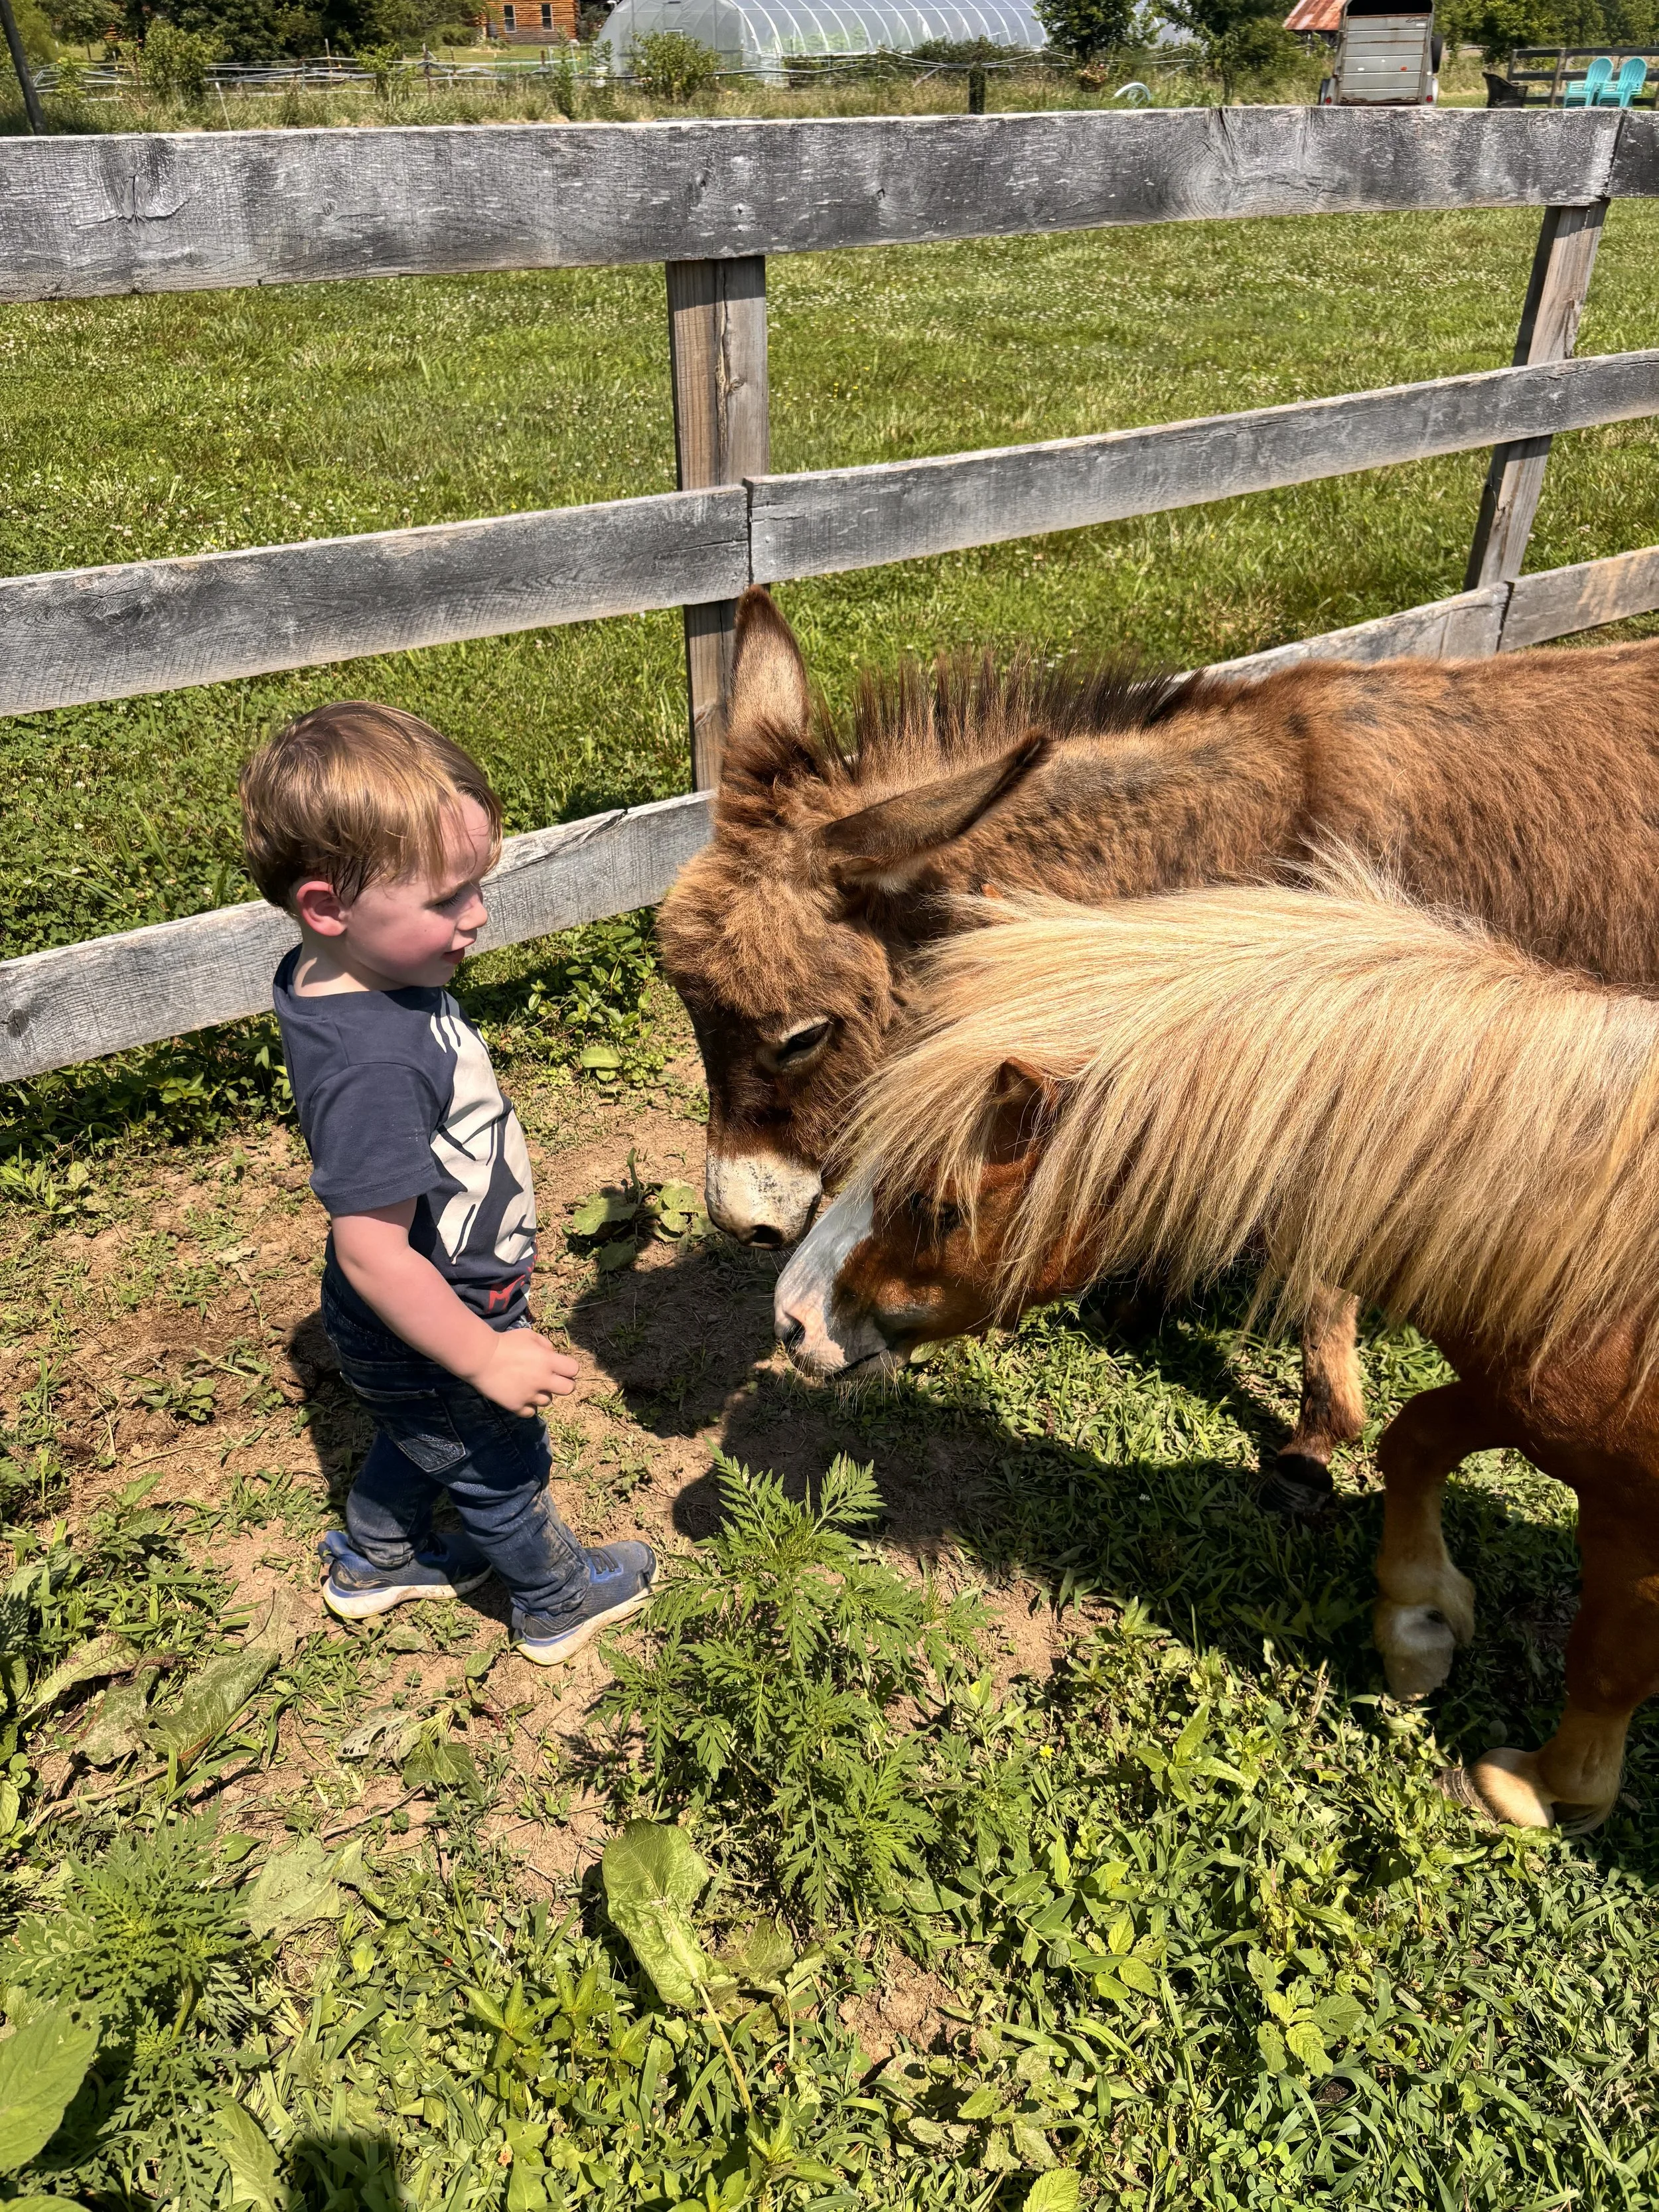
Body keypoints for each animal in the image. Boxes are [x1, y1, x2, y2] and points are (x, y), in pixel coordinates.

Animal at [657, 587, 1659, 1512]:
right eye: (690, 1008)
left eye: (802, 1037)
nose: (739, 1223)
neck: (1262, 834)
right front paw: (1150, 1297)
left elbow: (1320, 1272)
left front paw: (1315, 1440)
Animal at [771, 875, 1659, 1833]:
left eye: (937, 1207)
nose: (790, 1320)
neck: (1596, 1246)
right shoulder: (1524, 1400)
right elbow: (1413, 1437)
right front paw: (1418, 1622)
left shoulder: (1630, 1509)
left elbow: (1607, 1658)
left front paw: (1541, 1787)